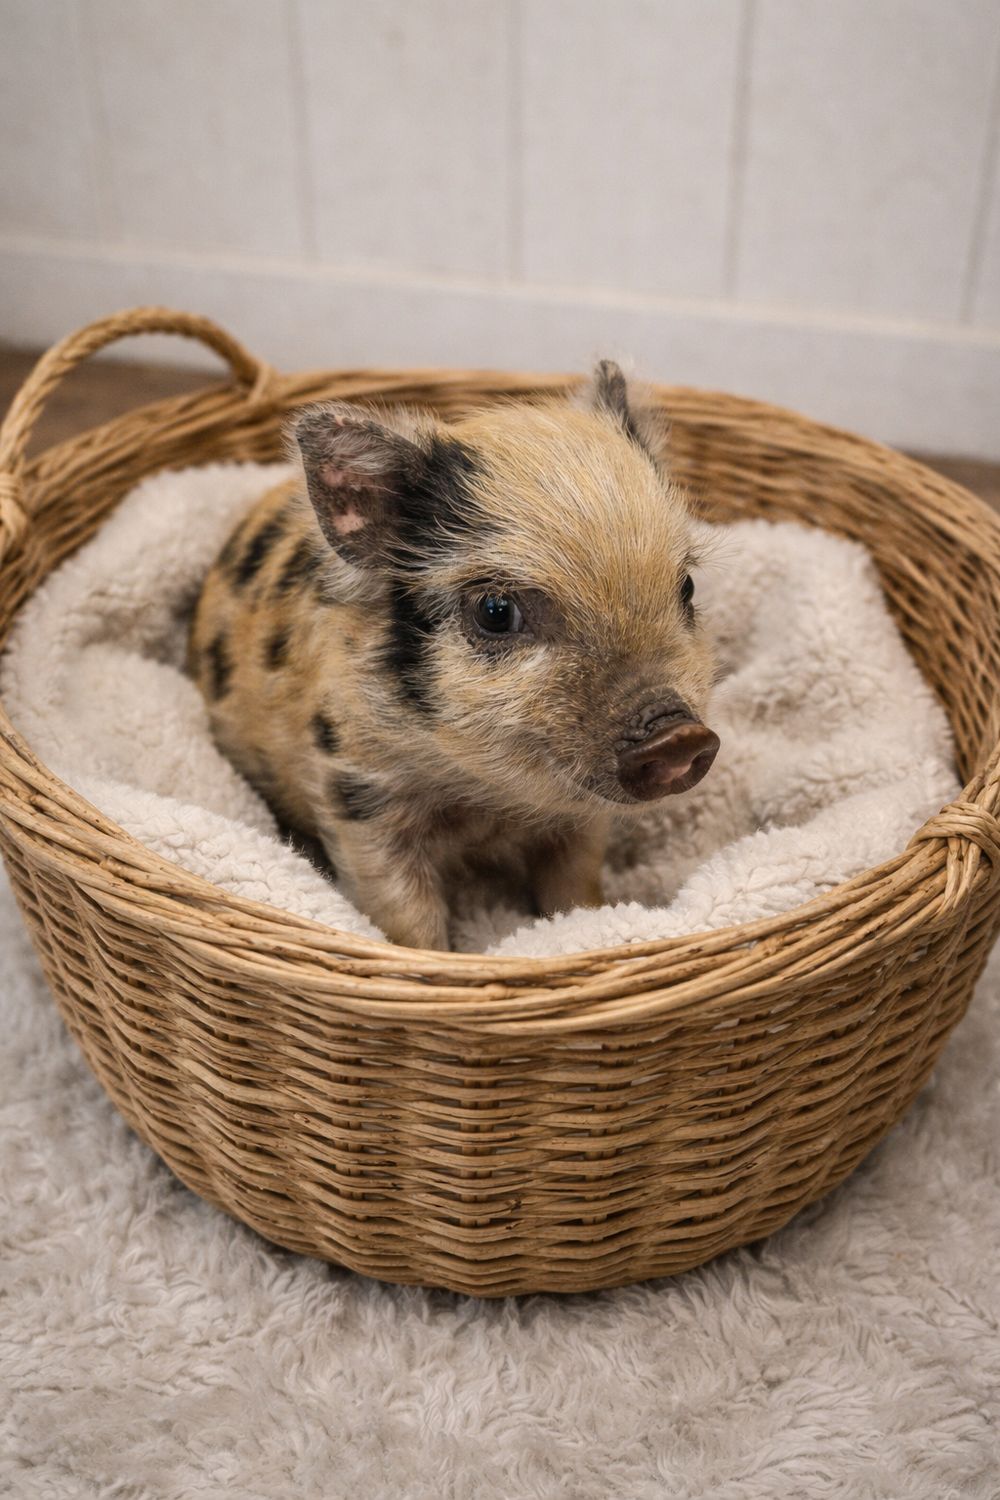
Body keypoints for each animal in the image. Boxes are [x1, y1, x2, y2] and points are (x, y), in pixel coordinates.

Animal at [188, 361, 719, 950]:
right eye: (496, 610)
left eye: (687, 587)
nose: (678, 735)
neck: (486, 804)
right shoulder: (359, 792)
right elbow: (403, 911)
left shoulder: (582, 820)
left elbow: (574, 881)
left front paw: (588, 923)